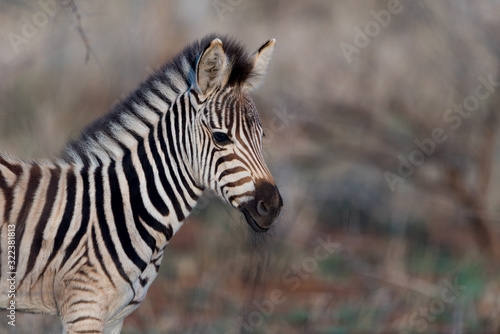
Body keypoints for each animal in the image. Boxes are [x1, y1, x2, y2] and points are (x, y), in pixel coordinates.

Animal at [0, 34, 282, 334]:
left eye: (262, 135)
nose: (272, 206)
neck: (122, 209)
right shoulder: (84, 307)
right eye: (221, 137)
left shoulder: (114, 317)